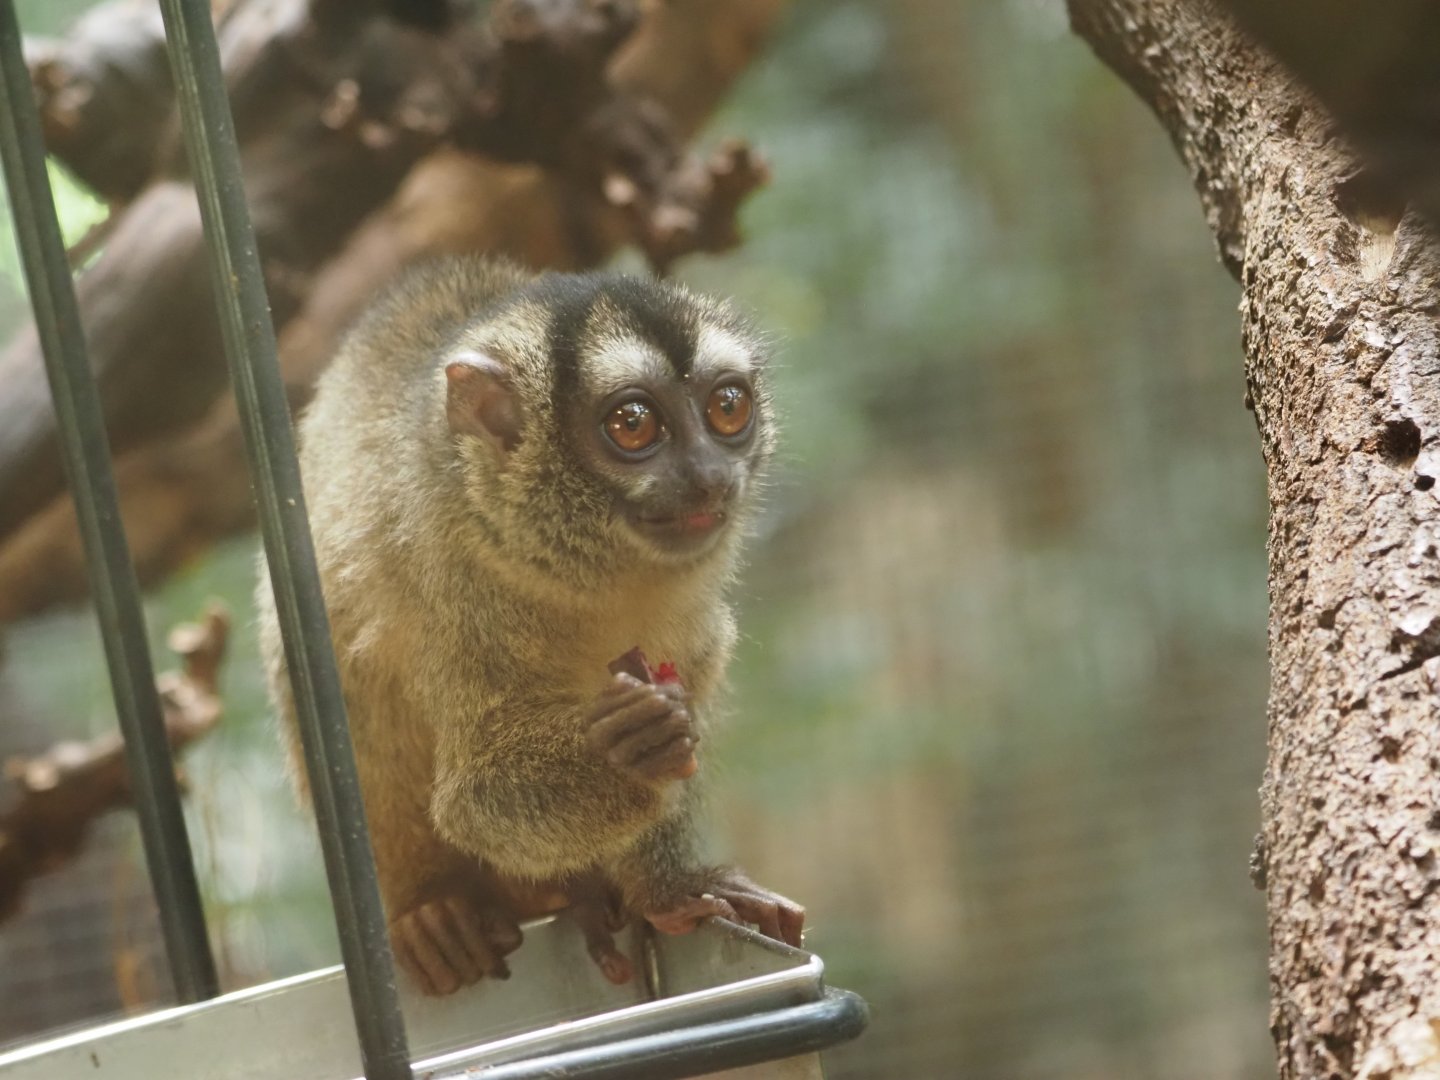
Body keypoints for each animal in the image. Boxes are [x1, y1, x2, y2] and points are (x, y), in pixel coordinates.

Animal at [256, 256, 804, 996]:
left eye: (727, 408)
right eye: (633, 424)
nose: (710, 478)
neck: (585, 569)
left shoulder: (692, 616)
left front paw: (667, 889)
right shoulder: (459, 588)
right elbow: (475, 798)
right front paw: (631, 750)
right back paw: (435, 911)